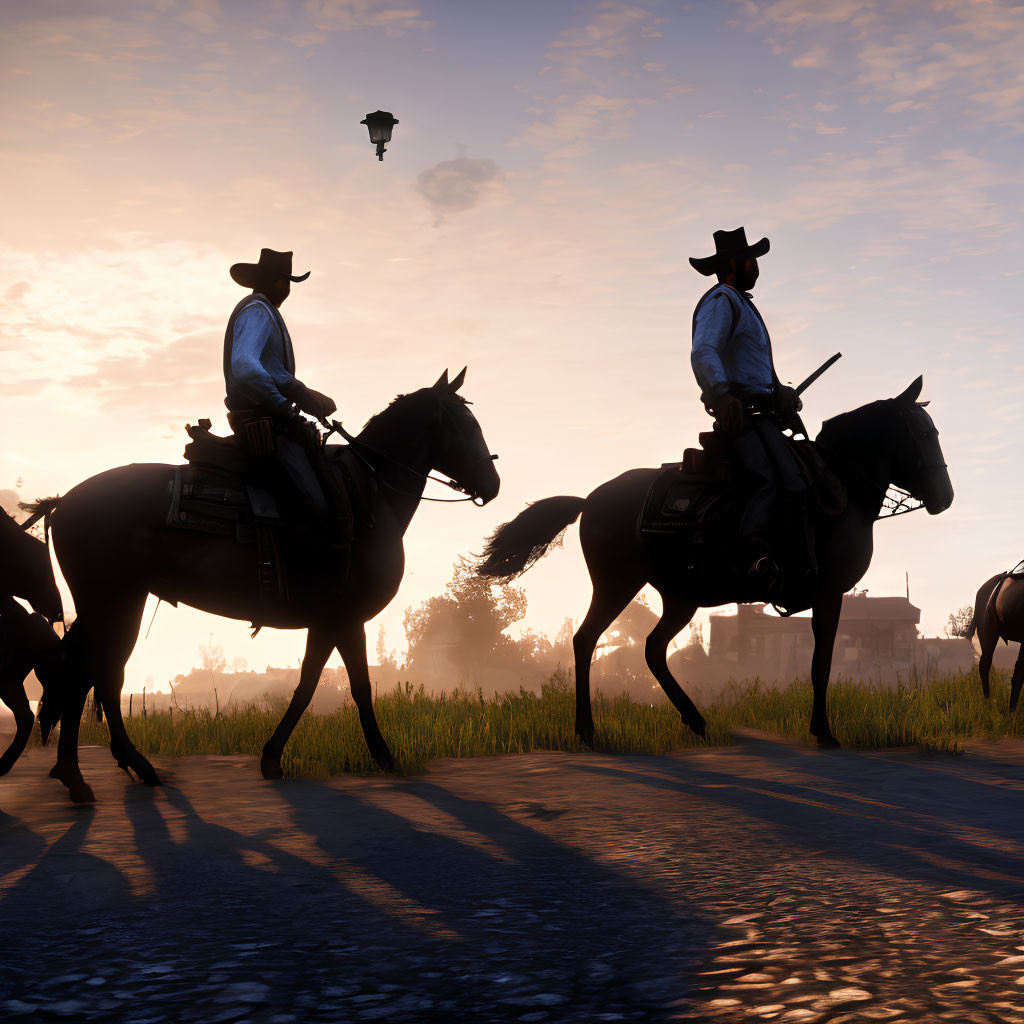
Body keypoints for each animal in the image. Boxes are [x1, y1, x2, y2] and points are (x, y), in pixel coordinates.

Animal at [30, 372, 495, 802]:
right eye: (467, 424)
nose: (493, 484)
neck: (370, 497)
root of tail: (64, 502)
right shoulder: (345, 618)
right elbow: (355, 688)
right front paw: (384, 757)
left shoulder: (327, 622)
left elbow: (308, 684)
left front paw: (273, 755)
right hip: (109, 603)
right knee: (89, 674)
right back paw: (78, 777)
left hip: (121, 603)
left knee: (103, 675)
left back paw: (127, 766)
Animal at [477, 380, 950, 749]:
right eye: (924, 432)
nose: (945, 497)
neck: (840, 488)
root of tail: (590, 498)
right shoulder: (829, 594)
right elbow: (821, 663)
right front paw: (824, 732)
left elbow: (820, 662)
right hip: (617, 583)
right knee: (585, 640)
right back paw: (588, 729)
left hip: (679, 597)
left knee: (651, 649)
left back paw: (695, 720)